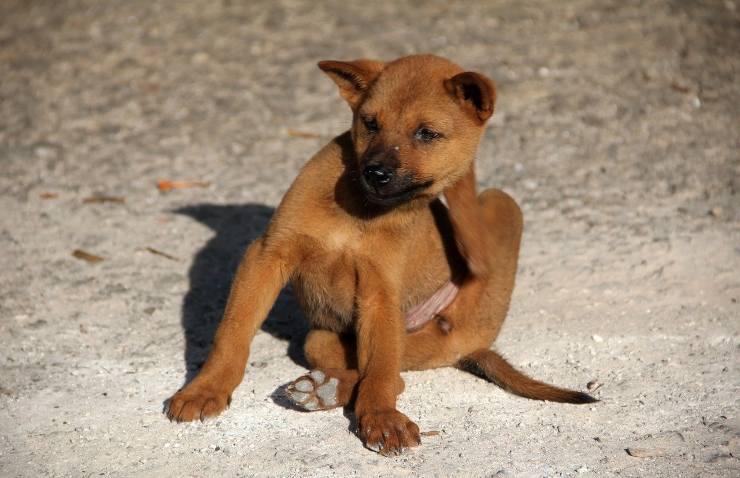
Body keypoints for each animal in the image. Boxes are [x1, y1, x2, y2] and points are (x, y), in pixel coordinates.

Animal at [166, 54, 596, 454]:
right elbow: (232, 333)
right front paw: (206, 388)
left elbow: (380, 371)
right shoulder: (267, 255)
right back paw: (322, 387)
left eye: (427, 133)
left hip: (497, 207)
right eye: (370, 123)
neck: (360, 212)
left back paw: (324, 389)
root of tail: (473, 345)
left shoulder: (379, 292)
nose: (376, 173)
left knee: (394, 373)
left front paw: (381, 418)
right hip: (324, 337)